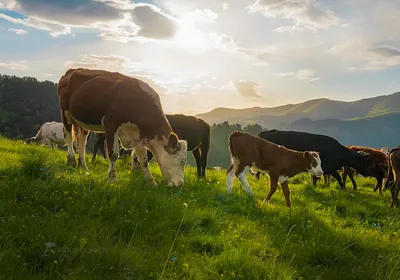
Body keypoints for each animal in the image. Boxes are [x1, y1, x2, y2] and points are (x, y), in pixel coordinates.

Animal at [57, 68, 188, 187]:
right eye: (182, 161)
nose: (180, 184)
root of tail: (71, 71)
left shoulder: (137, 136)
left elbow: (143, 159)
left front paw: (151, 182)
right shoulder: (110, 123)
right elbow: (113, 154)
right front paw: (112, 179)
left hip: (82, 121)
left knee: (82, 140)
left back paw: (84, 166)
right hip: (65, 112)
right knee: (68, 135)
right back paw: (71, 160)